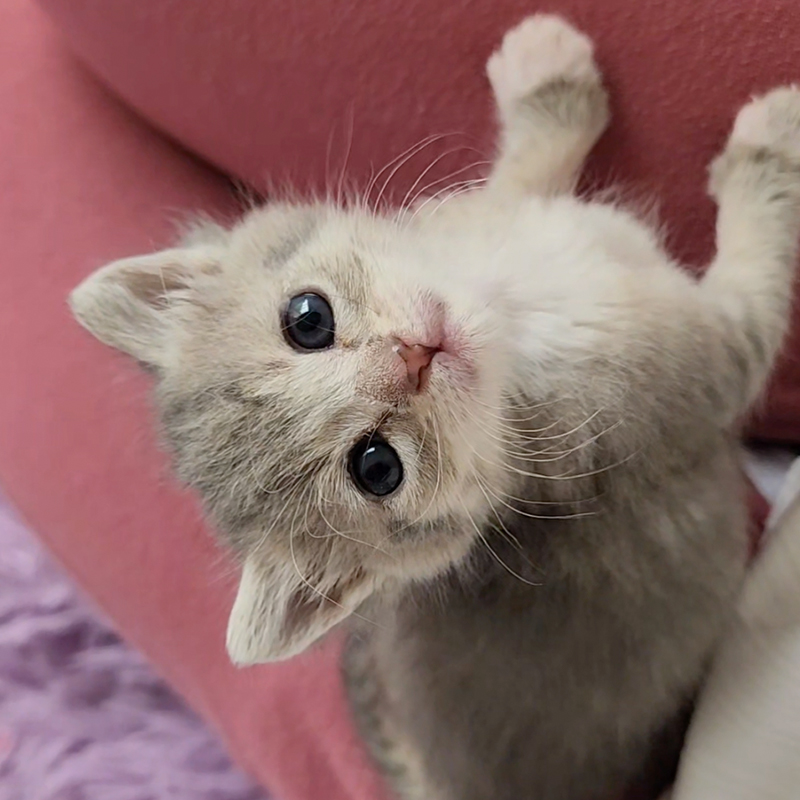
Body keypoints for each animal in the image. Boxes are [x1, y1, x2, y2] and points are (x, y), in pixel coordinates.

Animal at [69, 15, 800, 800]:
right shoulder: (707, 368)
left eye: (307, 319)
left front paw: (546, 83)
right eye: (376, 466)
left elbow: (519, 178)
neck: (512, 310)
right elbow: (760, 272)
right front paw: (773, 148)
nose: (411, 358)